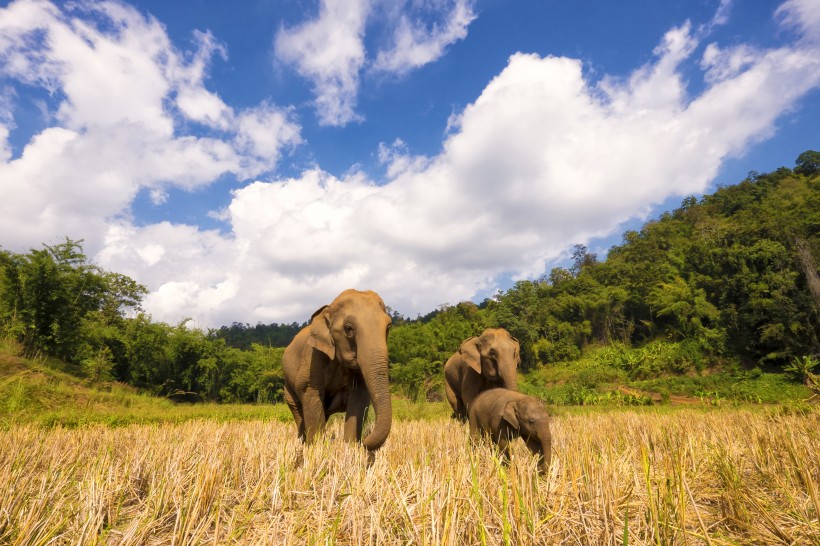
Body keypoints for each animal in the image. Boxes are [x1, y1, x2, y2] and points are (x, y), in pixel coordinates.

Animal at [284, 288, 392, 450]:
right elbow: (311, 396)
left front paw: (351, 447)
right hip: (287, 388)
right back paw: (301, 444)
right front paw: (316, 448)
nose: (365, 441)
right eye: (348, 328)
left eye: (388, 327)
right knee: (299, 412)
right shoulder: (313, 359)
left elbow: (358, 402)